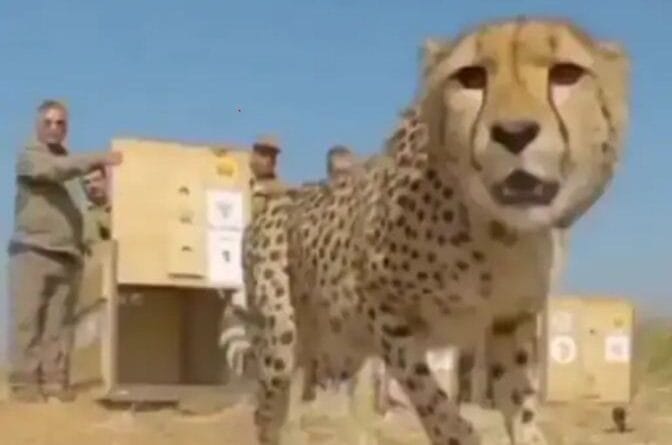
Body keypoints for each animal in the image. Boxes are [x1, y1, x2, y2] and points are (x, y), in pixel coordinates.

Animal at [242, 16, 630, 445]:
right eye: (471, 78)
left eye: (565, 74)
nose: (514, 132)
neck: (501, 231)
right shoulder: (380, 308)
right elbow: (433, 402)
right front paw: (459, 432)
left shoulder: (508, 321)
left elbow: (519, 403)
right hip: (282, 340)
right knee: (267, 412)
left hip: (340, 347)